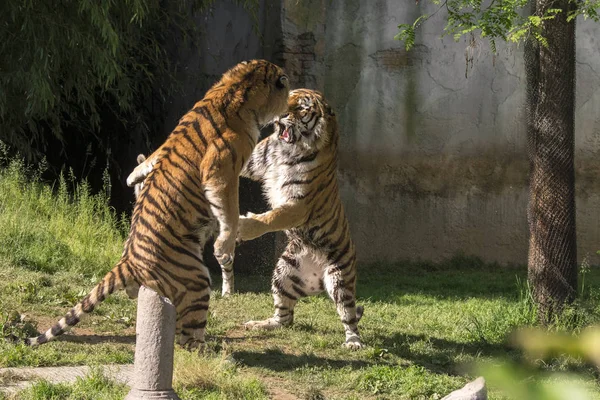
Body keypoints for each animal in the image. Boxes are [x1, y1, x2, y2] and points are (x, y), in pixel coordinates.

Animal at [26, 57, 290, 348]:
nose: (289, 105)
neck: (234, 89)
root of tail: (128, 261)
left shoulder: (167, 146)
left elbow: (149, 161)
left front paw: (133, 177)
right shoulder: (220, 173)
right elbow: (229, 212)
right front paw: (226, 243)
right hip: (197, 279)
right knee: (187, 338)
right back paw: (210, 351)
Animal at [239, 88, 366, 350]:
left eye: (300, 107)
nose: (280, 114)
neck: (287, 149)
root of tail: (317, 281)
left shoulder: (298, 205)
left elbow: (271, 218)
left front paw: (245, 227)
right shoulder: (255, 161)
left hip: (340, 279)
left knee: (348, 315)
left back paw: (353, 342)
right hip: (284, 273)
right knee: (285, 317)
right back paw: (260, 324)